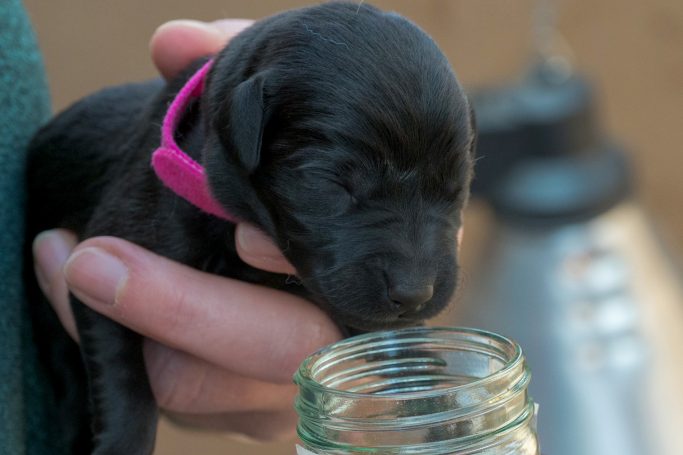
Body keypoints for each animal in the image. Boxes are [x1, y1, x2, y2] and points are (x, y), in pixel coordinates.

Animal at [25, 1, 476, 454]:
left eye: (456, 188)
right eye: (332, 183)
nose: (415, 293)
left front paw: (443, 414)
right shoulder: (105, 256)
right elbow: (124, 379)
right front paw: (123, 443)